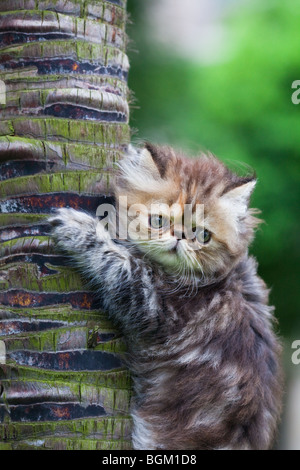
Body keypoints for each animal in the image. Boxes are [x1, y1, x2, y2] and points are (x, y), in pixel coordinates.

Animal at [49, 144, 284, 452]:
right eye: (158, 221)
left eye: (203, 235)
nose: (181, 237)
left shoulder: (154, 305)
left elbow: (117, 262)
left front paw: (79, 228)